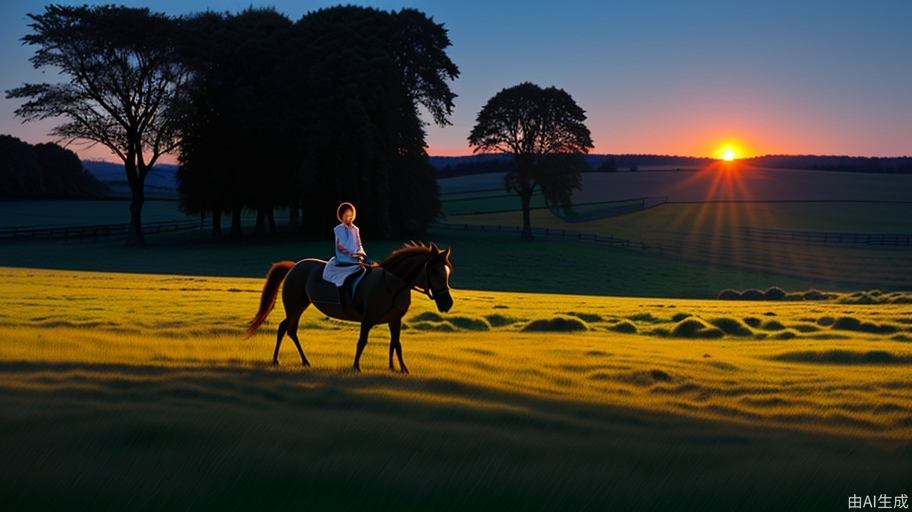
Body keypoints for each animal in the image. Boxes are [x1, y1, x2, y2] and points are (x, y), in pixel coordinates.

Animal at [244, 240, 454, 372]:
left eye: (447, 271)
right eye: (435, 271)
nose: (447, 303)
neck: (393, 283)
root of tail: (294, 266)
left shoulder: (395, 320)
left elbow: (396, 344)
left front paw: (400, 369)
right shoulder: (368, 319)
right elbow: (362, 342)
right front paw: (356, 367)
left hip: (300, 305)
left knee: (291, 330)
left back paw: (304, 361)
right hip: (295, 305)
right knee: (284, 328)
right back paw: (276, 360)